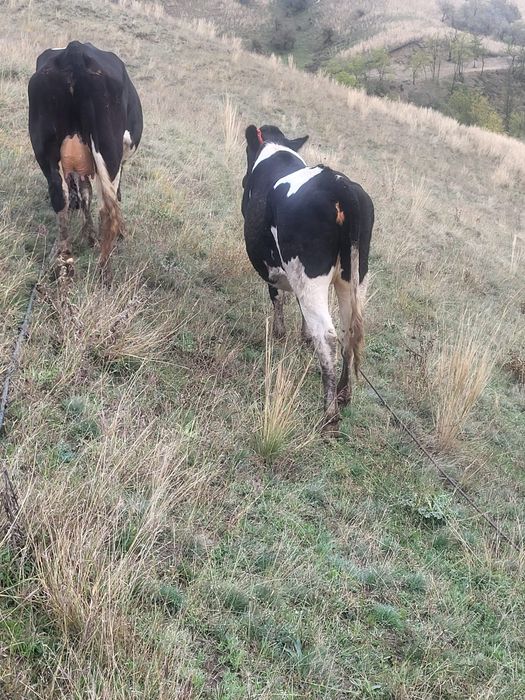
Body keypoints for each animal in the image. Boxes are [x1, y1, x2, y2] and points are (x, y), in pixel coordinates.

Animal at [28, 41, 143, 276]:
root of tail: (75, 50)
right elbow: (110, 196)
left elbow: (84, 194)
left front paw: (88, 236)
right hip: (109, 153)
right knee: (108, 211)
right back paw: (104, 269)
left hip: (46, 150)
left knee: (59, 196)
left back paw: (65, 259)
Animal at [241, 125, 374, 436]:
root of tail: (338, 183)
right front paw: (301, 335)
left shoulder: (274, 268)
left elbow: (277, 297)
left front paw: (279, 334)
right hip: (354, 278)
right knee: (349, 330)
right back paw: (343, 393)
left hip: (311, 275)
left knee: (327, 335)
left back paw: (330, 415)